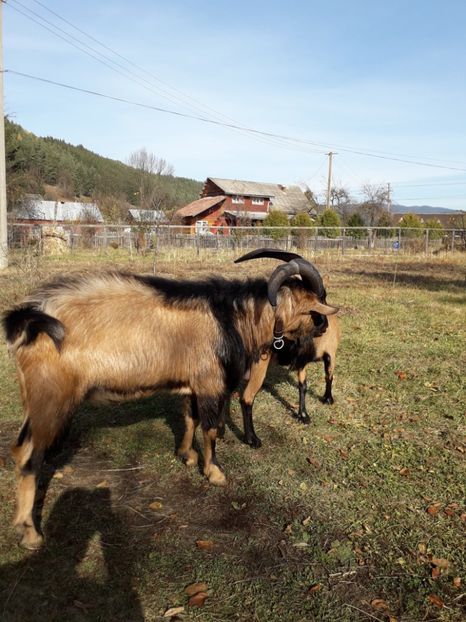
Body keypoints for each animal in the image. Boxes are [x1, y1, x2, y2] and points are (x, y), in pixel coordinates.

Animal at [235, 249, 340, 448]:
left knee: (329, 374)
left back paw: (328, 399)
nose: (325, 326)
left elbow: (303, 385)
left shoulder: (301, 359)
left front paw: (304, 415)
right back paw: (252, 439)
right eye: (319, 300)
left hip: (330, 353)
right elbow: (247, 396)